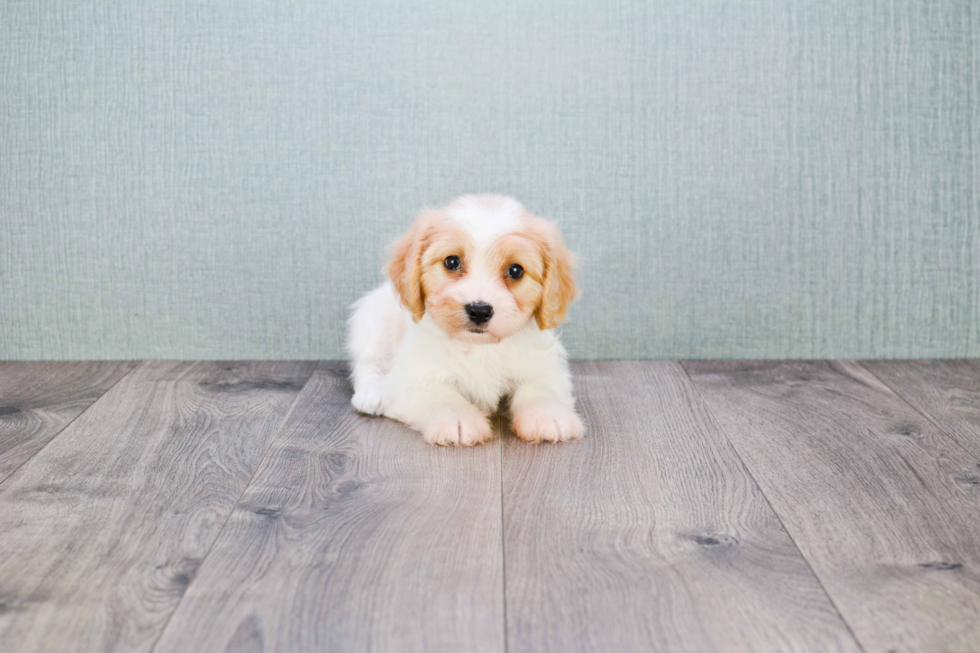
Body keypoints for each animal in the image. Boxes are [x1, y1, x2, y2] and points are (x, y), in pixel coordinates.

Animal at [348, 194, 584, 446]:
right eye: (452, 262)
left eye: (515, 270)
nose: (479, 310)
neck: (480, 347)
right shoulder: (413, 376)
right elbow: (441, 395)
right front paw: (457, 421)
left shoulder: (541, 367)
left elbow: (540, 388)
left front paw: (548, 416)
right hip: (372, 320)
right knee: (368, 362)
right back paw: (372, 394)